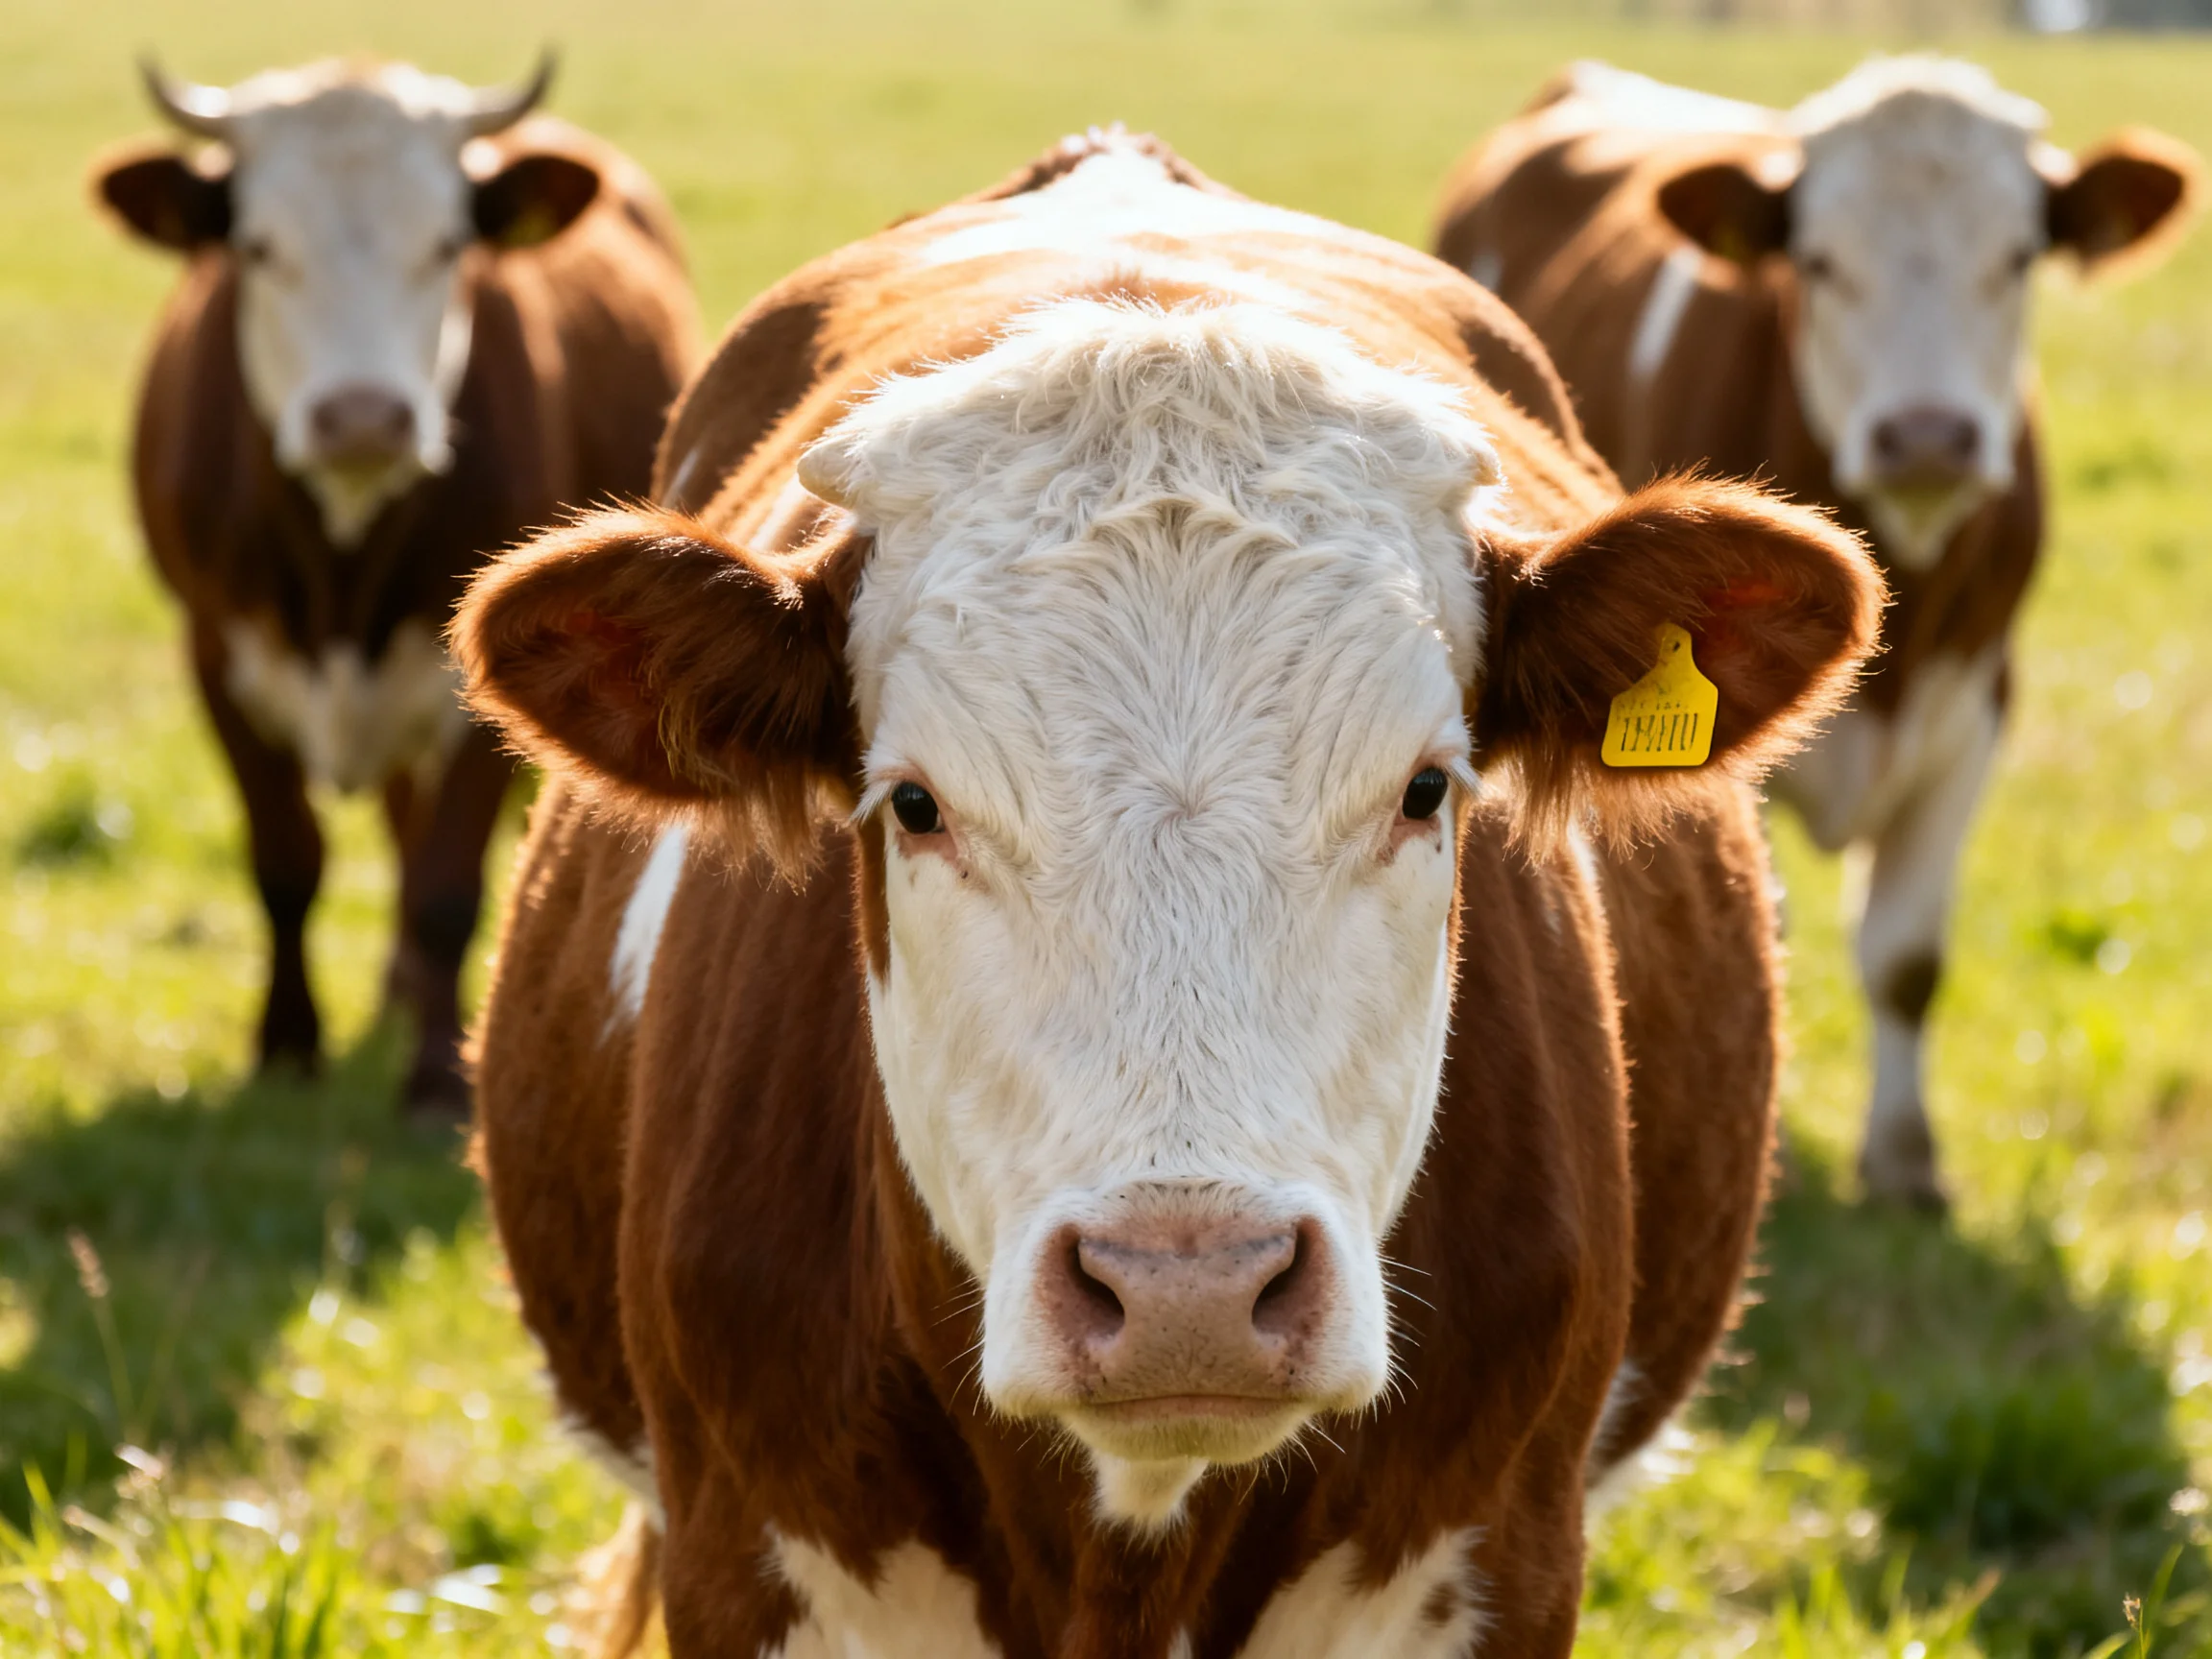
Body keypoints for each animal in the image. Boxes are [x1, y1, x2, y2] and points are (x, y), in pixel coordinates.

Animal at [91, 55, 697, 1109]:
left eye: (448, 245)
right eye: (258, 247)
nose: (363, 416)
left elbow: (444, 885)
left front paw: (435, 1076)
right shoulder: (217, 656)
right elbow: (284, 862)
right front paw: (287, 1048)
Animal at [1434, 58, 2198, 1207]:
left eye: (2019, 257)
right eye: (1821, 262)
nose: (1927, 435)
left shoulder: (1979, 705)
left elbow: (1909, 957)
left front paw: (1906, 1162)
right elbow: (1774, 927)